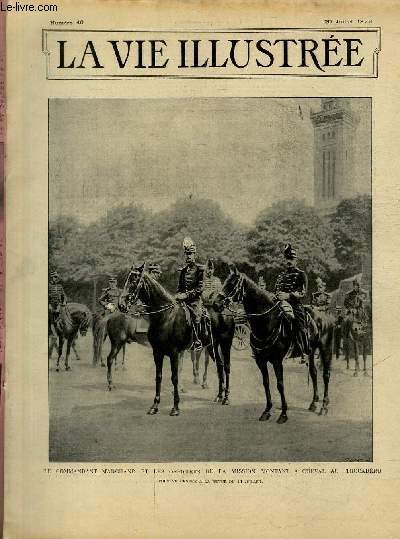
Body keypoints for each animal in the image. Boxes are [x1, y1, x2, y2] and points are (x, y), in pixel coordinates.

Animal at [214, 268, 336, 424]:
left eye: (231, 284)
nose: (216, 304)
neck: (266, 321)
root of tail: (326, 317)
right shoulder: (260, 360)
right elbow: (266, 383)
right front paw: (267, 411)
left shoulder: (277, 360)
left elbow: (280, 384)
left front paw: (283, 414)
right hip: (311, 350)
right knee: (314, 372)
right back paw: (314, 403)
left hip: (326, 349)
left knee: (326, 375)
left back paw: (324, 406)